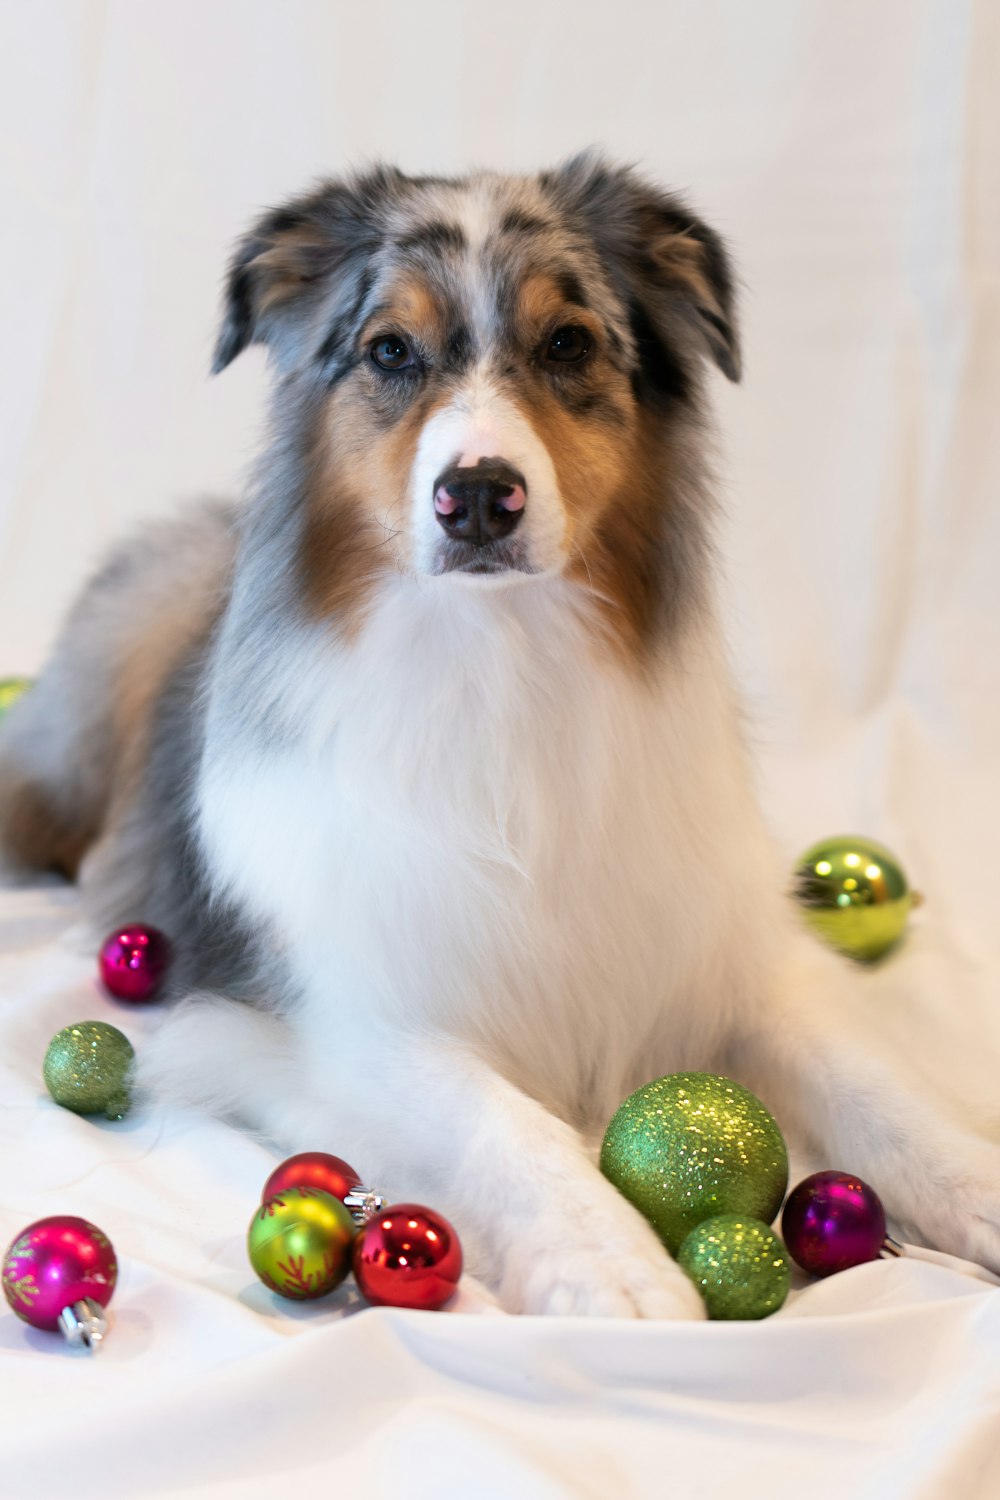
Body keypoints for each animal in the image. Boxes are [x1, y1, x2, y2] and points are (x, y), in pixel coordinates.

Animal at [1, 158, 1000, 1320]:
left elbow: (875, 1085)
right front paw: (612, 1265)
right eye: (390, 351)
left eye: (567, 342)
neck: (498, 654)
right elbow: (497, 1117)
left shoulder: (724, 956)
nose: (477, 495)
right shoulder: (338, 1020)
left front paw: (974, 1181)